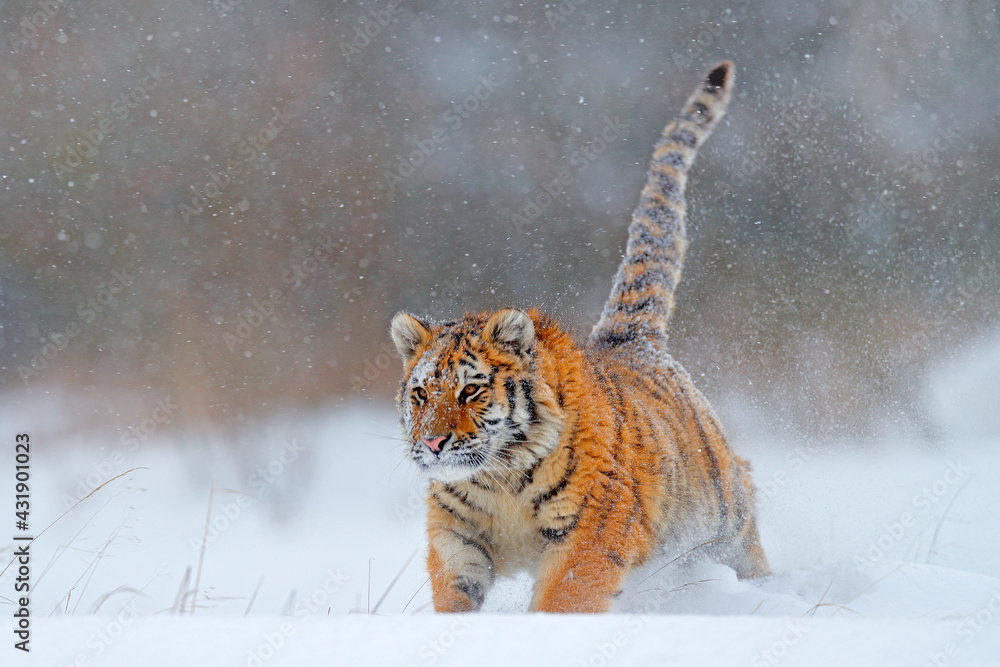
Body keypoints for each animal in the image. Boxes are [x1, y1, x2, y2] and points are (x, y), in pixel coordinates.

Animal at [386, 62, 768, 616]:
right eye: (420, 394)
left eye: (470, 391)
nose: (433, 444)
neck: (500, 480)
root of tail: (633, 339)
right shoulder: (458, 534)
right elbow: (456, 592)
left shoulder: (588, 537)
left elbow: (562, 602)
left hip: (724, 524)